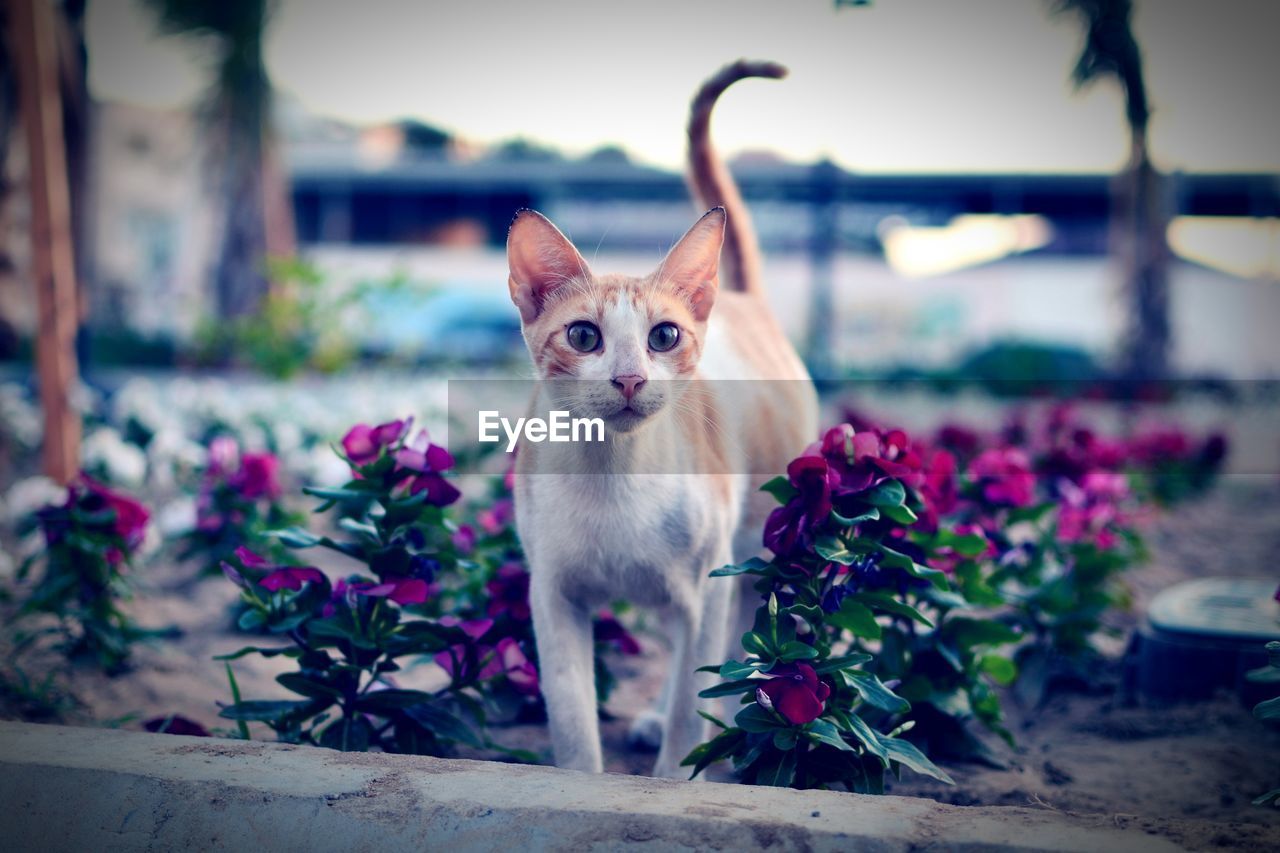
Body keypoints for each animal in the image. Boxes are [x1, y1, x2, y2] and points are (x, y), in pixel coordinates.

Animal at [501, 61, 814, 778]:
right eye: (583, 336)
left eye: (664, 336)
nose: (629, 378)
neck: (612, 477)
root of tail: (743, 297)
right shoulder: (552, 593)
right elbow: (571, 719)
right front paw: (584, 779)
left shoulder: (710, 580)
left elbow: (695, 705)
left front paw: (676, 777)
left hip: (764, 543)